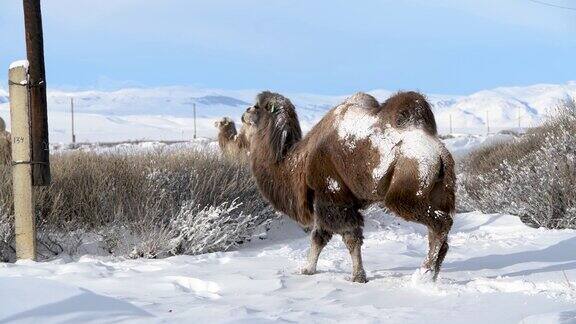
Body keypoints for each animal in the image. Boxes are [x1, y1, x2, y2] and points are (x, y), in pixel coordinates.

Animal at [243, 90, 454, 282]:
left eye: (257, 106)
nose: (244, 113)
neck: (298, 162)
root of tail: (440, 153)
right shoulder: (327, 199)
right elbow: (319, 236)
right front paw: (307, 270)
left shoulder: (333, 195)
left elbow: (348, 237)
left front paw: (358, 276)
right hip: (440, 191)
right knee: (437, 231)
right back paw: (432, 273)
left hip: (405, 192)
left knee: (441, 223)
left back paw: (425, 273)